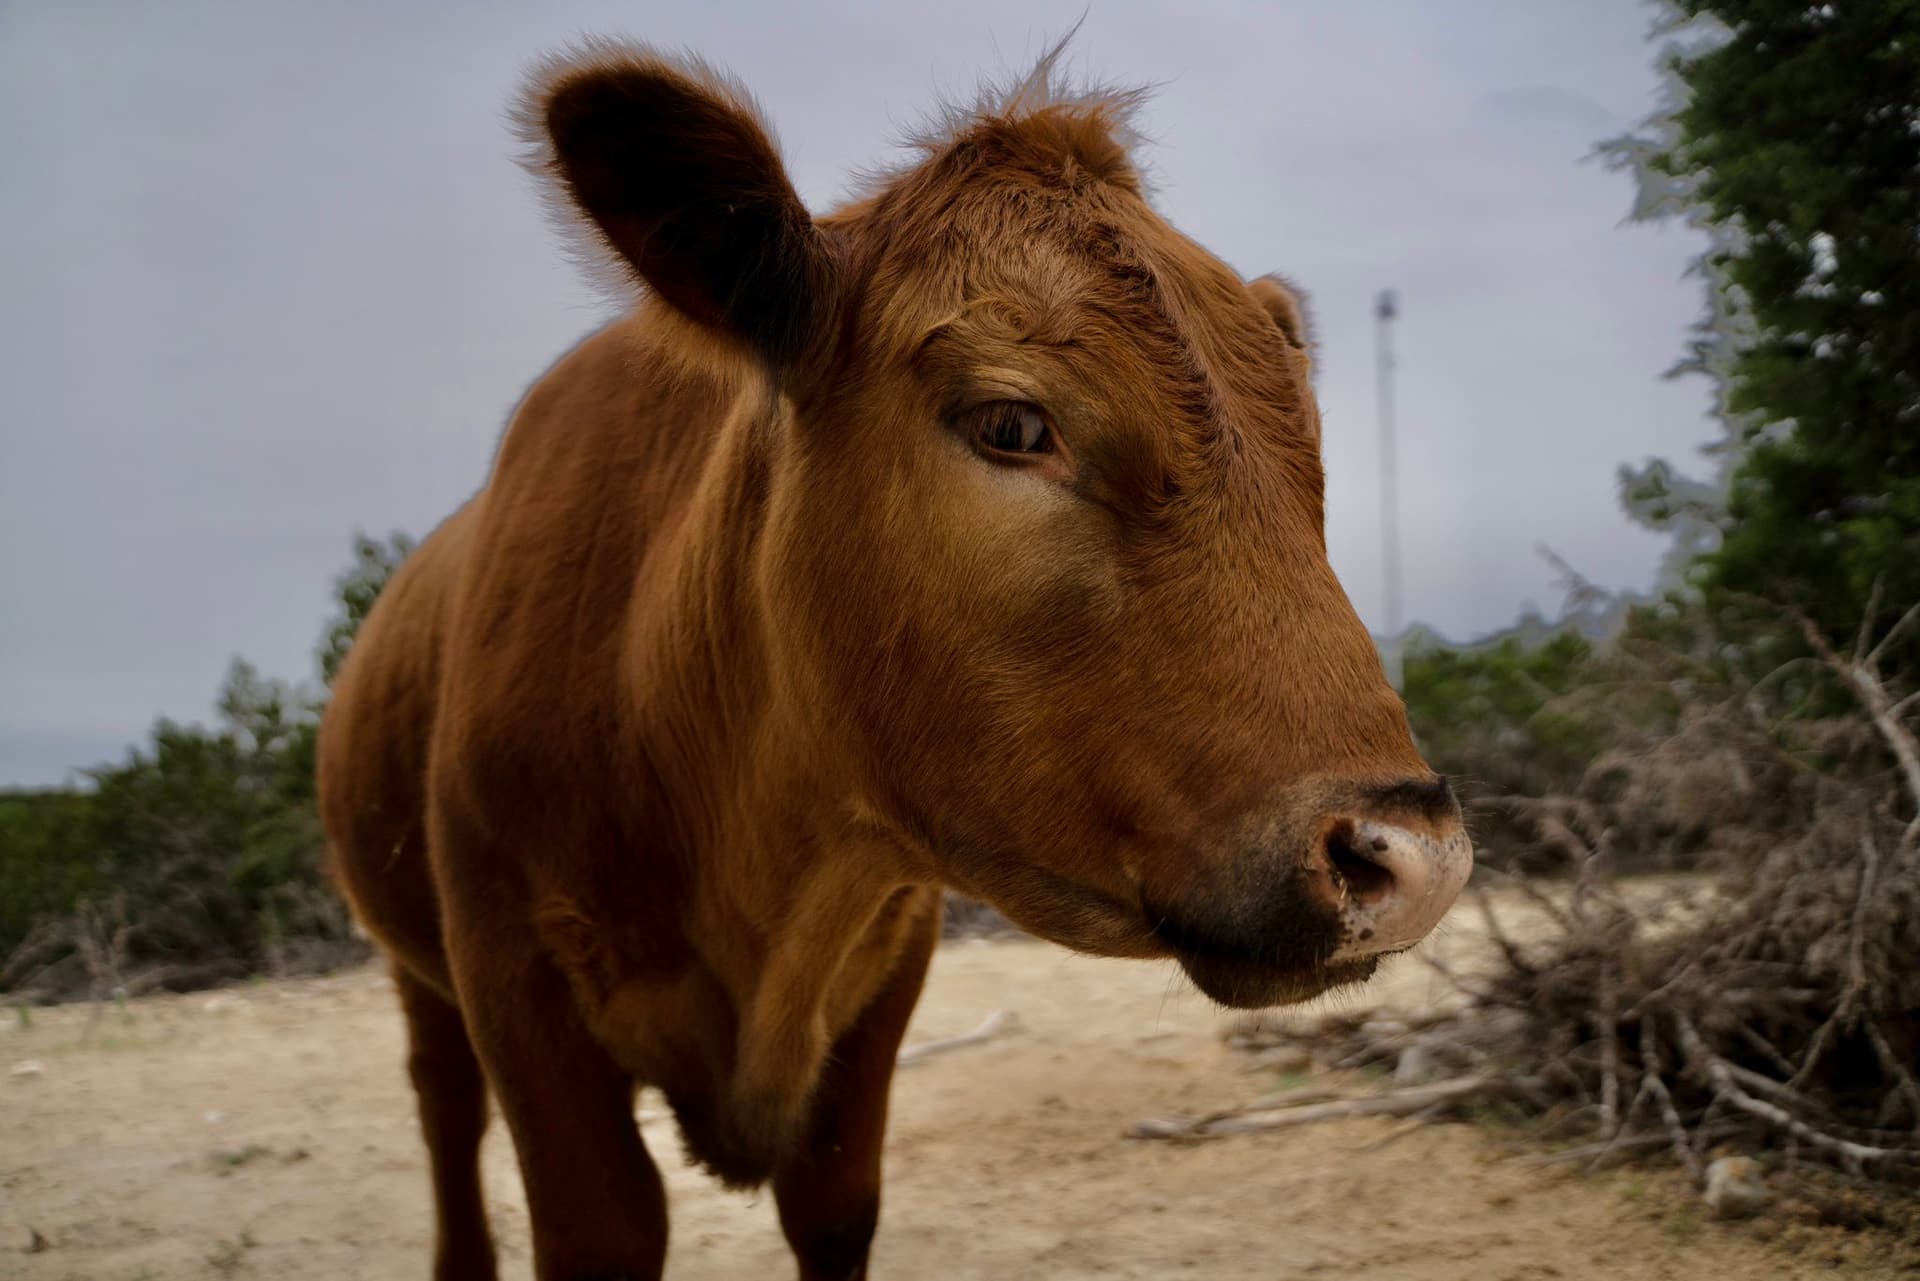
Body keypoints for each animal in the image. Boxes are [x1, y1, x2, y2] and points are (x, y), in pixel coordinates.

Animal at [317, 36, 1472, 1281]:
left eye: (1305, 439)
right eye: (1011, 424)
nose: (1408, 857)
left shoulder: (881, 981)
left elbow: (835, 1203)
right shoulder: (518, 990)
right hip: (416, 968)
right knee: (443, 1107)